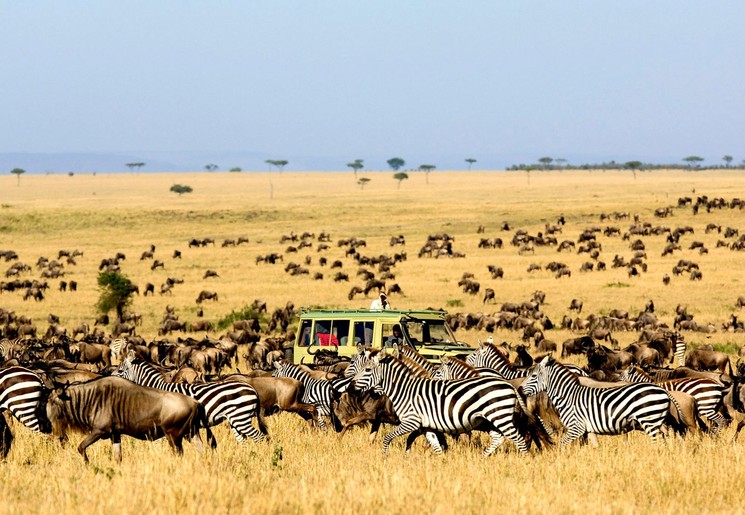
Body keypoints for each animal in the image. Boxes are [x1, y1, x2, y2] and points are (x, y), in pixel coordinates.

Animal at [113, 354, 268, 444]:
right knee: (243, 440)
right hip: (235, 419)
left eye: (120, 371)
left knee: (260, 437)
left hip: (241, 417)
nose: (110, 378)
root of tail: (252, 389)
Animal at [352, 354, 528, 456]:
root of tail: (508, 384)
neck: (404, 390)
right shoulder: (426, 425)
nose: (351, 386)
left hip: (499, 416)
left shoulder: (411, 421)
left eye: (367, 370)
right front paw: (441, 463)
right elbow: (435, 446)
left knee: (518, 439)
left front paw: (385, 457)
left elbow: (388, 437)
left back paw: (523, 461)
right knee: (499, 438)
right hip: (489, 420)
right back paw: (483, 458)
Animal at [520, 356, 672, 446]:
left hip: (649, 420)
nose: (520, 388)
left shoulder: (576, 427)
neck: (568, 396)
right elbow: (595, 447)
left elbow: (562, 445)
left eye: (533, 376)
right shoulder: (589, 429)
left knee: (659, 441)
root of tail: (663, 391)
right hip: (655, 421)